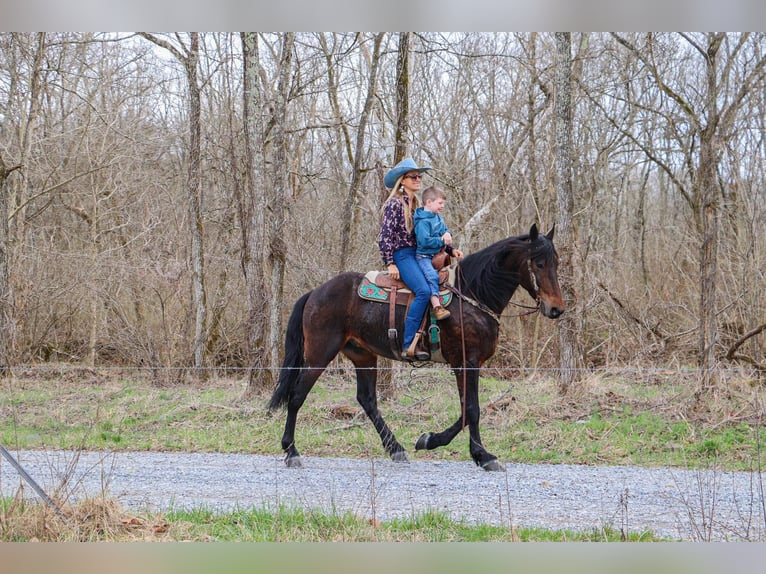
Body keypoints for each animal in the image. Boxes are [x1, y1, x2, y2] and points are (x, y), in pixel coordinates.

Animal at [268, 224, 564, 472]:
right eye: (539, 263)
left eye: (557, 262)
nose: (556, 309)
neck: (472, 295)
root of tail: (315, 293)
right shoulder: (465, 361)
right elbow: (472, 410)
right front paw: (482, 456)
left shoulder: (468, 364)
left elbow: (466, 411)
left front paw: (430, 440)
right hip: (320, 353)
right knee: (297, 396)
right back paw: (291, 451)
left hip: (363, 355)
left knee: (367, 400)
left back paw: (395, 448)